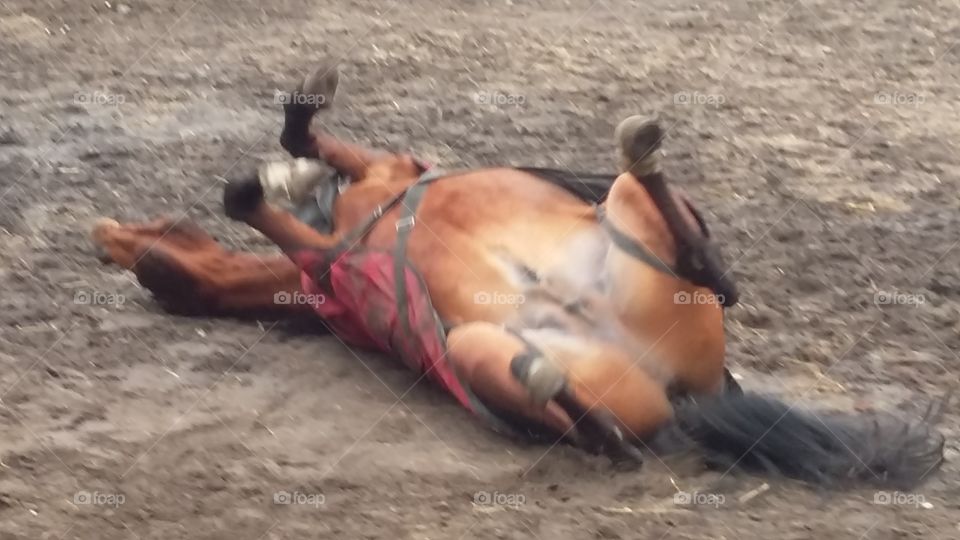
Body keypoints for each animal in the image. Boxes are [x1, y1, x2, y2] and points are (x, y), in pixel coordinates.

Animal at [92, 60, 944, 487]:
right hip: (476, 346)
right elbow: (280, 190)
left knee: (690, 254)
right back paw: (547, 378)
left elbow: (294, 149)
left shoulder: (375, 180)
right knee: (607, 437)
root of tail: (682, 389)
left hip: (616, 234)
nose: (107, 237)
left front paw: (285, 155)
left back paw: (659, 186)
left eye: (153, 239)